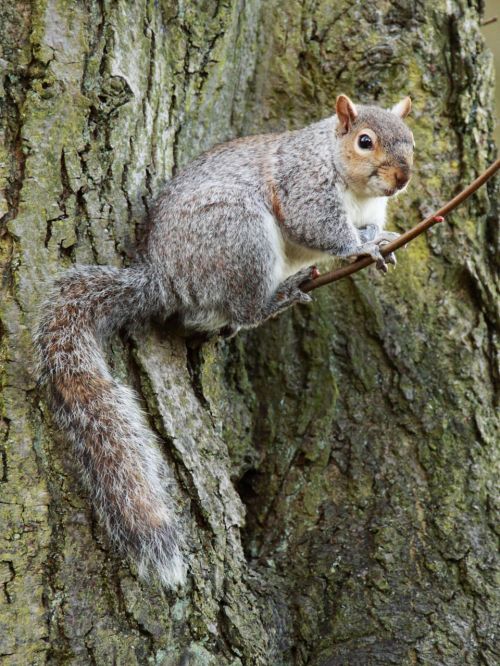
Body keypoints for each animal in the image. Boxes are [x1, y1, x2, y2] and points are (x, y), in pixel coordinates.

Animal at [35, 94, 414, 588]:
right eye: (365, 141)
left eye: (411, 141)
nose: (402, 177)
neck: (352, 184)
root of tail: (162, 280)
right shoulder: (305, 187)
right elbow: (323, 230)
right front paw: (361, 248)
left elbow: (368, 228)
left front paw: (380, 238)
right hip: (239, 234)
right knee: (246, 307)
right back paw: (278, 298)